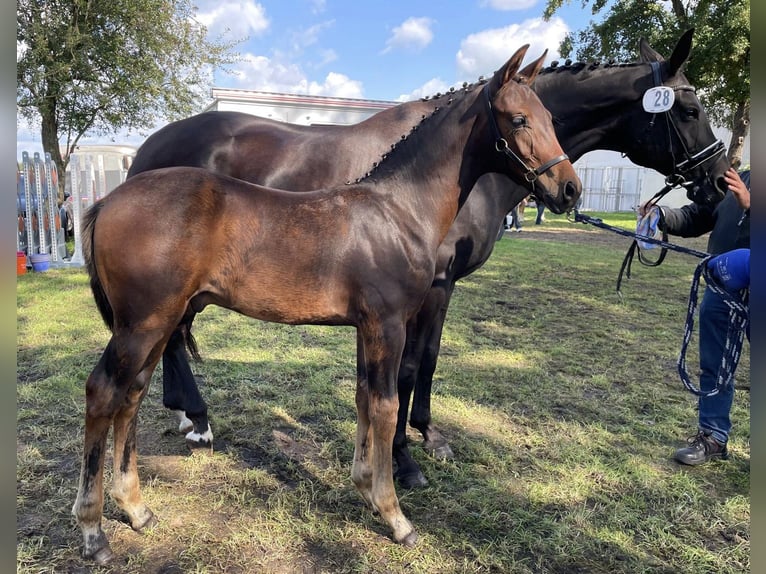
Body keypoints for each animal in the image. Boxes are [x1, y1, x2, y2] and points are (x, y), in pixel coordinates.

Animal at [73, 46, 584, 568]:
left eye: (552, 118)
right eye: (518, 119)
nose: (569, 189)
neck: (398, 210)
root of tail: (106, 201)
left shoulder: (366, 326)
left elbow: (362, 398)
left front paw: (364, 487)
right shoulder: (389, 323)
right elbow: (385, 404)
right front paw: (395, 514)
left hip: (158, 322)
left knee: (131, 396)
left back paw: (137, 510)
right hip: (142, 324)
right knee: (103, 394)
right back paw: (94, 531)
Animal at [127, 28, 732, 490]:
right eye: (691, 108)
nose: (718, 182)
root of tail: (146, 152)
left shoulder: (444, 286)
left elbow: (431, 360)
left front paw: (425, 434)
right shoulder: (429, 287)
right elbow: (410, 366)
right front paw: (402, 458)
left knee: (172, 338)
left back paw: (185, 412)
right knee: (170, 337)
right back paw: (197, 418)